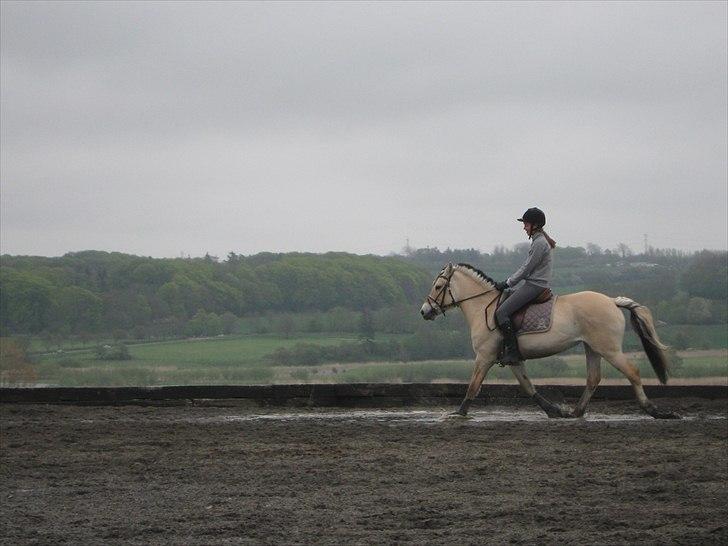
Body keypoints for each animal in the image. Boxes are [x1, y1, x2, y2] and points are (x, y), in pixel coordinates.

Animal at [418, 262, 680, 418]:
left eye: (439, 286)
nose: (424, 311)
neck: (484, 307)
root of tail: (612, 301)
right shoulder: (513, 359)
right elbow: (528, 386)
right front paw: (553, 409)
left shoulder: (484, 356)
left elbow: (473, 385)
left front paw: (459, 413)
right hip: (592, 348)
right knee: (593, 378)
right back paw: (575, 412)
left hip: (609, 349)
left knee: (632, 372)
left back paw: (654, 411)